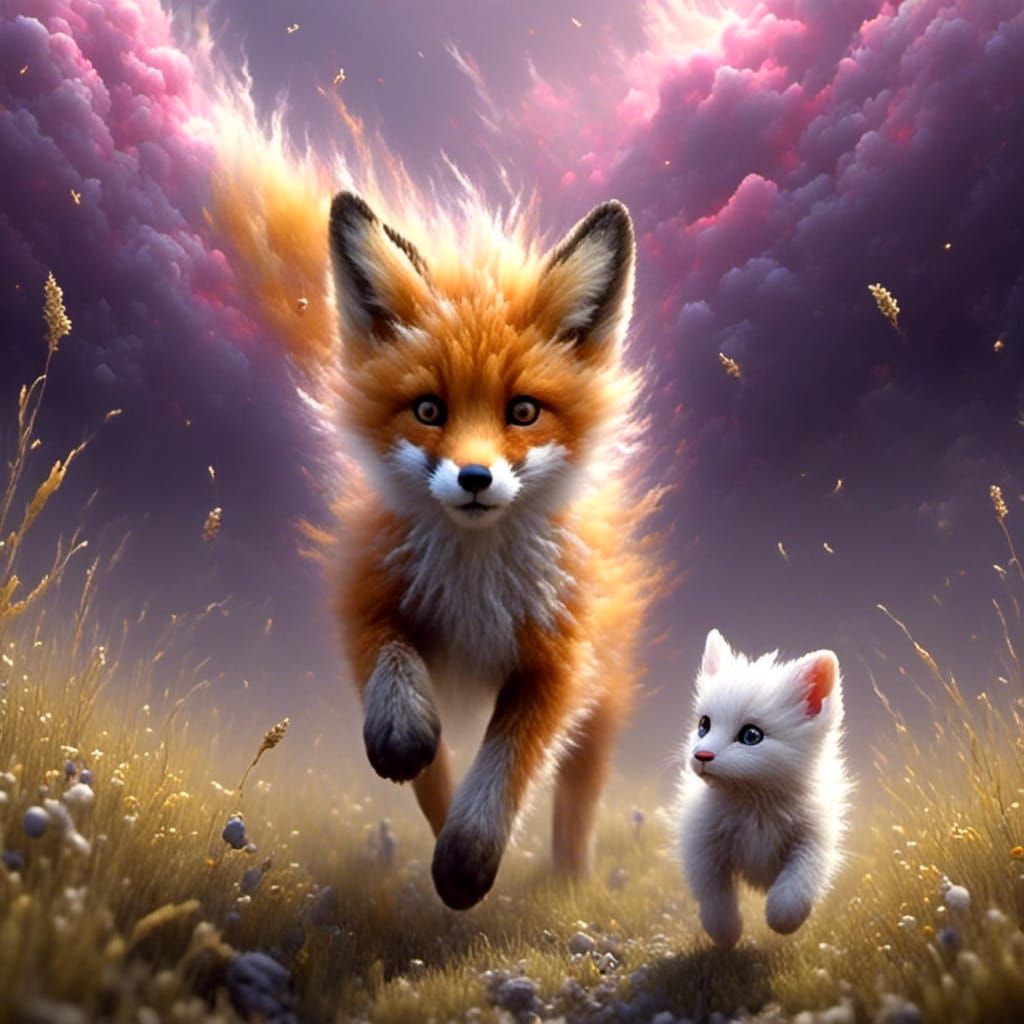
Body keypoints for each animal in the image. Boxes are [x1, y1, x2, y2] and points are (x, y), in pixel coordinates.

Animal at [326, 191, 658, 910]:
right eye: (428, 410)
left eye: (523, 412)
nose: (474, 478)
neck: (474, 587)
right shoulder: (367, 597)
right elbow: (405, 713)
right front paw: (406, 743)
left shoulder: (558, 661)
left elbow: (506, 768)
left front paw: (466, 859)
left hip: (603, 698)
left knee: (578, 797)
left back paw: (571, 878)